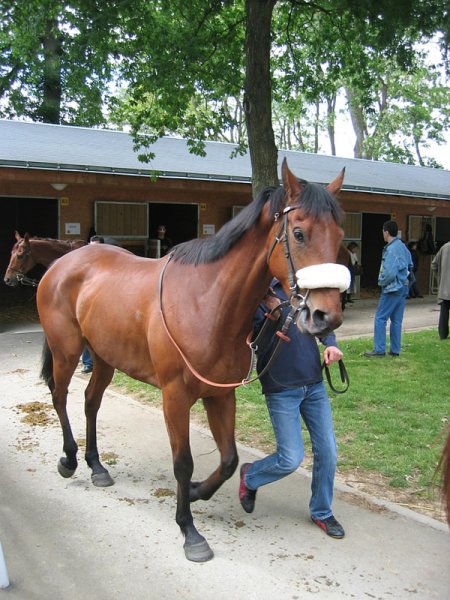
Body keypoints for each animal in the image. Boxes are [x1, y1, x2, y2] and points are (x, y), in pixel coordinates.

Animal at [37, 161, 350, 564]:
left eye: (339, 235)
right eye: (298, 233)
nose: (326, 316)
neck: (206, 303)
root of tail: (62, 263)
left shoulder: (221, 394)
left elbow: (230, 459)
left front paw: (201, 491)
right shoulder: (175, 397)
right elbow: (183, 462)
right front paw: (189, 531)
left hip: (104, 356)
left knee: (91, 402)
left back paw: (97, 466)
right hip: (67, 350)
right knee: (60, 396)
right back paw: (70, 460)